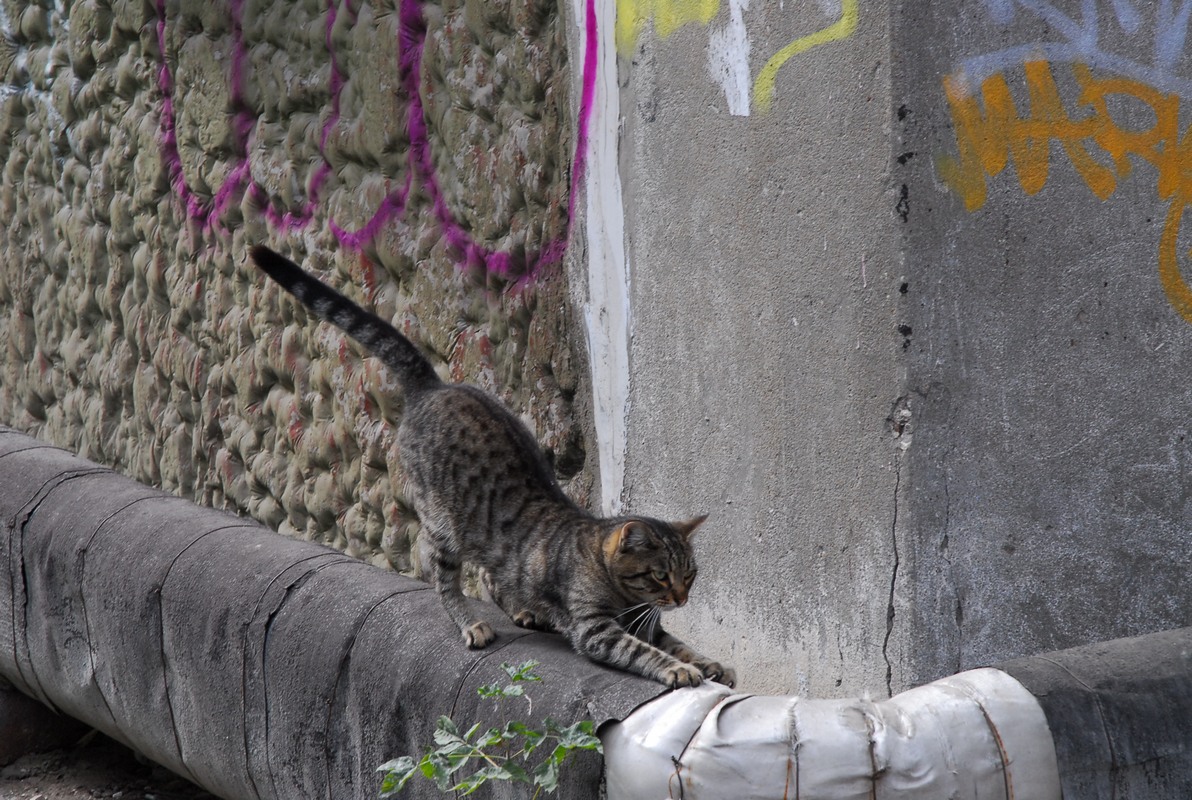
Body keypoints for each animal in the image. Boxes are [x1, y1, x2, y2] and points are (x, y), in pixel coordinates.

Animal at [249, 246, 734, 691]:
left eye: (690, 574)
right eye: (660, 575)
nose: (681, 597)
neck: (612, 582)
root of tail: (434, 386)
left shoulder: (648, 621)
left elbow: (676, 642)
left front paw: (709, 662)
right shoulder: (596, 629)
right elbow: (644, 651)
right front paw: (678, 669)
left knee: (488, 571)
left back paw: (522, 609)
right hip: (443, 525)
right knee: (441, 575)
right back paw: (472, 623)